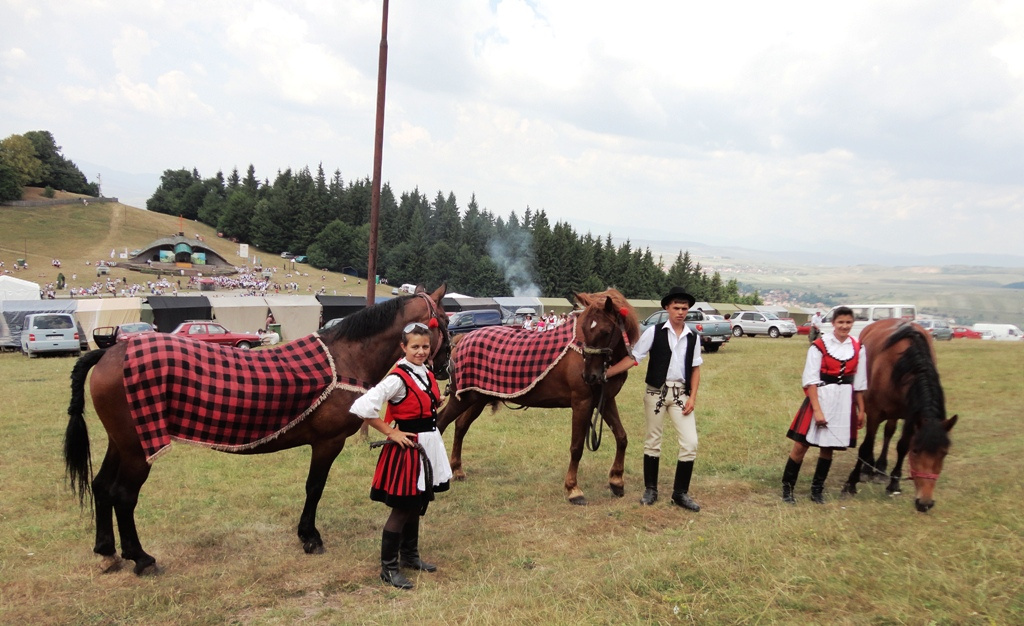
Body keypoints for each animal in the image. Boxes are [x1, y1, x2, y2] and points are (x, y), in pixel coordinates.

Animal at [62, 286, 448, 573]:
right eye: (444, 319)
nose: (444, 367)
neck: (345, 358)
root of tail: (110, 353)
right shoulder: (328, 442)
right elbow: (314, 488)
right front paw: (310, 537)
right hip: (138, 449)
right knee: (124, 496)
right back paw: (141, 559)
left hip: (122, 443)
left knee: (102, 488)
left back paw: (107, 552)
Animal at [434, 288, 638, 504]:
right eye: (584, 327)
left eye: (605, 331)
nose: (590, 375)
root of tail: (461, 340)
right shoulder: (582, 402)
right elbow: (576, 447)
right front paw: (573, 489)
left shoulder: (605, 400)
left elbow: (621, 437)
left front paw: (616, 481)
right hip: (461, 398)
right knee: (441, 423)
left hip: (477, 398)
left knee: (460, 426)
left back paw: (458, 470)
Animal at [843, 321, 954, 512]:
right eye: (916, 451)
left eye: (944, 453)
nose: (925, 503)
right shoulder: (874, 412)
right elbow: (865, 446)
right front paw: (852, 482)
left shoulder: (911, 415)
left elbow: (902, 447)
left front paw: (894, 483)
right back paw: (867, 469)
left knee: (888, 432)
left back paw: (880, 467)